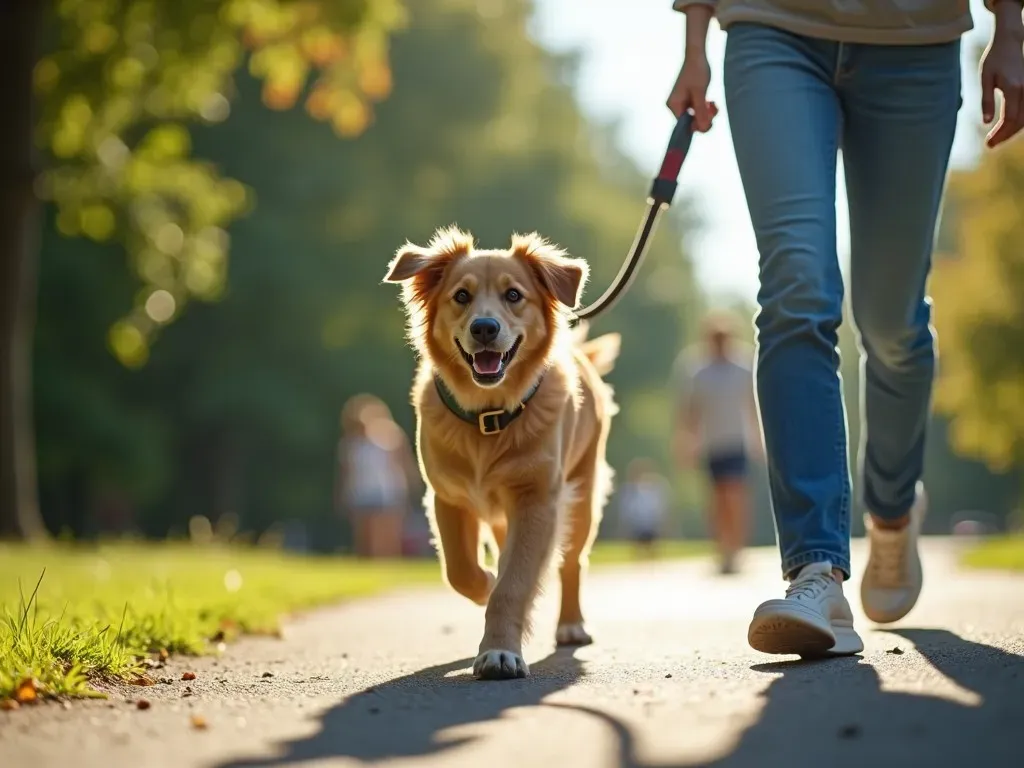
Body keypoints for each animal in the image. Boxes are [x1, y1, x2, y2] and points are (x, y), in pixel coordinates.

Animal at [385, 227, 618, 679]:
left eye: (514, 295)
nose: (485, 328)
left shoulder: (538, 500)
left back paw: (571, 625)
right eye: (461, 295)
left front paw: (499, 652)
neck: (487, 418)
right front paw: (486, 584)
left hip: (581, 496)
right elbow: (460, 570)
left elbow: (514, 585)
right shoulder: (448, 497)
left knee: (572, 562)